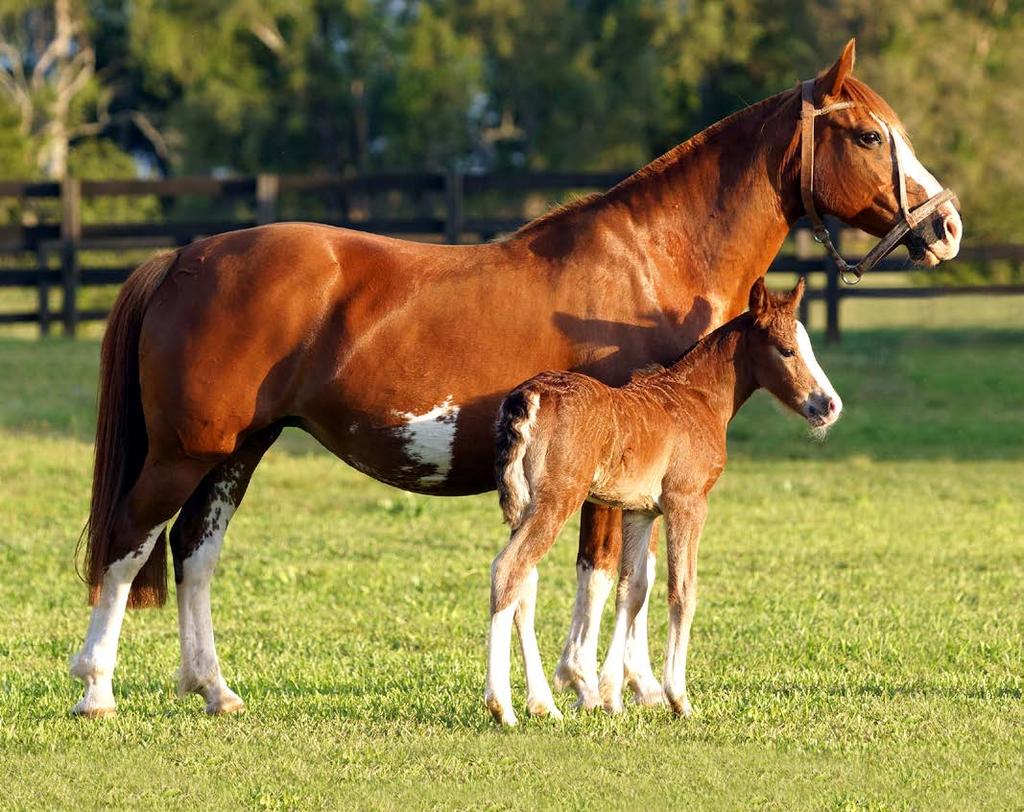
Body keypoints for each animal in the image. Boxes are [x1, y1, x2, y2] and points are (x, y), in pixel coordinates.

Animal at [485, 278, 839, 720]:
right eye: (787, 349)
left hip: (524, 506)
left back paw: (540, 702)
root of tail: (529, 397)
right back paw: (503, 706)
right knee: (509, 570)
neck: (696, 397)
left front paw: (612, 695)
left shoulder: (640, 512)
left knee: (523, 584)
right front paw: (677, 697)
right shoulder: (687, 503)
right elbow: (683, 591)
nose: (829, 406)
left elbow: (632, 589)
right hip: (556, 500)